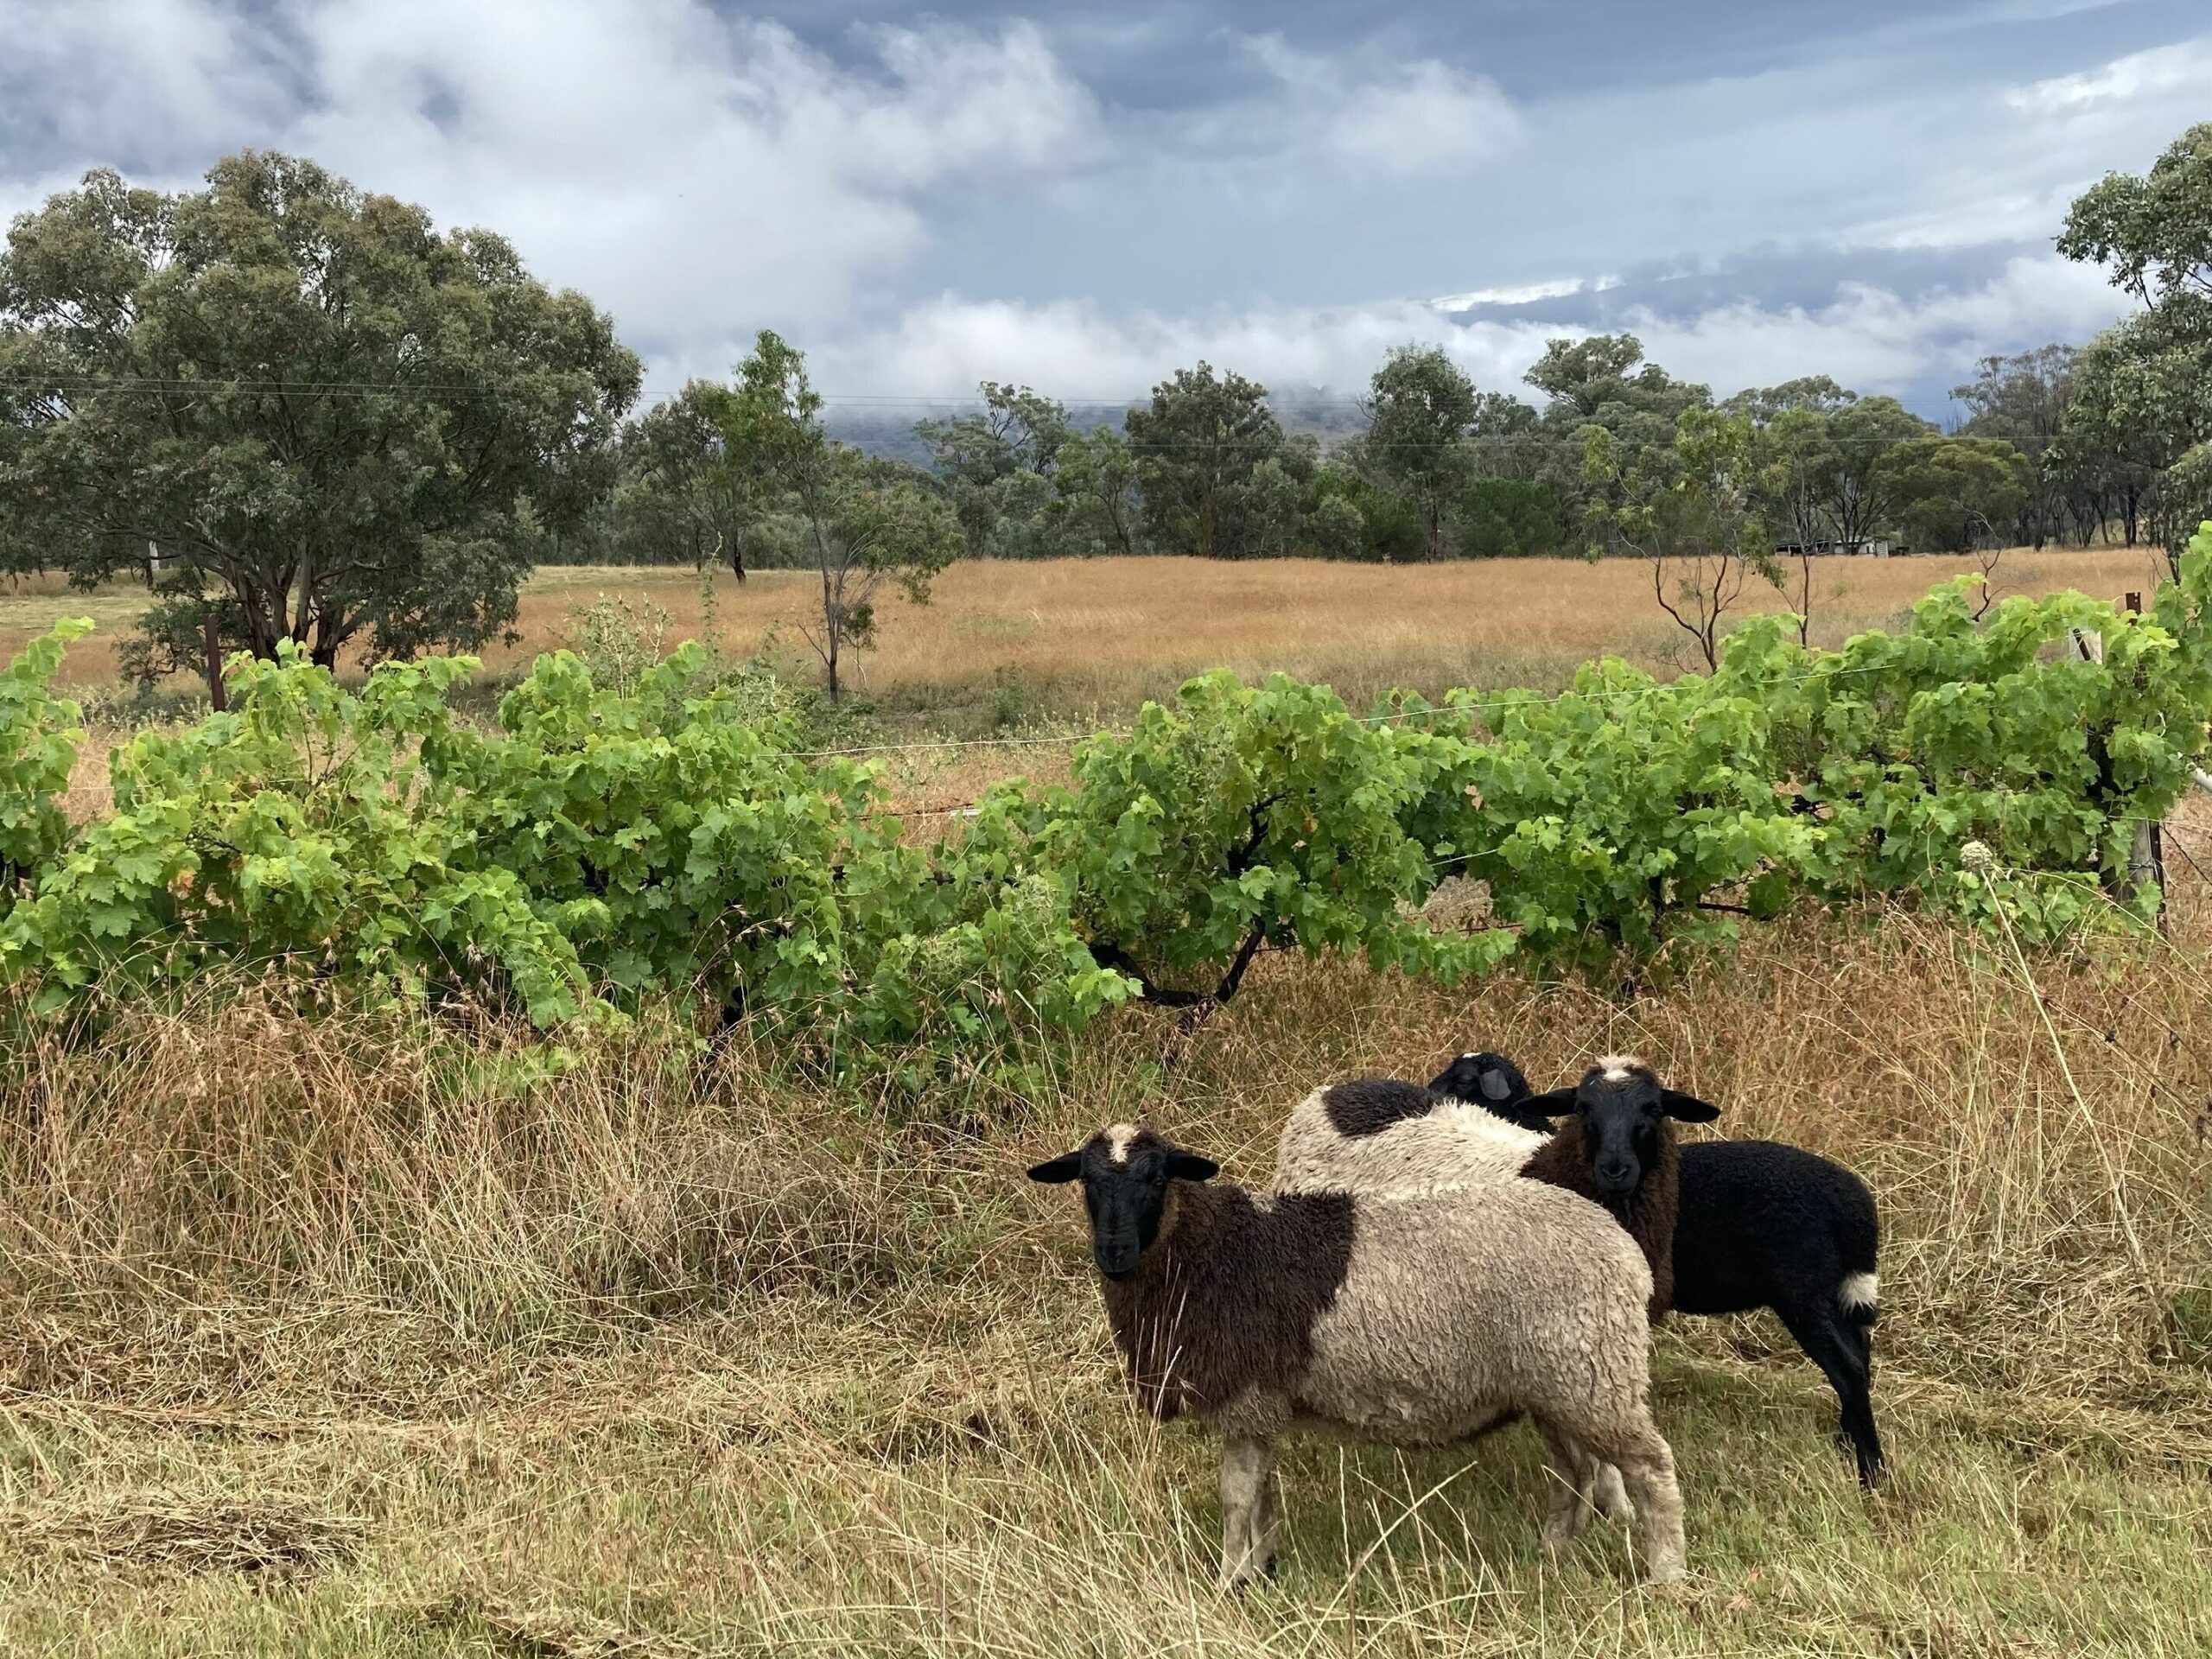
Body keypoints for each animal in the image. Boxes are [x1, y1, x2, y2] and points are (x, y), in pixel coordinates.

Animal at [1433, 1052, 1885, 1495]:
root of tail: (1855, 1205)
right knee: (1859, 1351)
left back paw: (1871, 1474)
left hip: (1802, 1291)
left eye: (1462, 1080)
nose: (1615, 1169)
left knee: (1848, 1367)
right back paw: (1845, 1443)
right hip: (1832, 1290)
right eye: (1583, 1107)